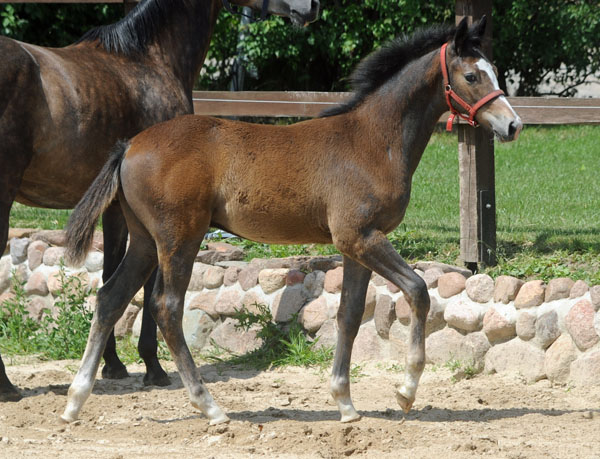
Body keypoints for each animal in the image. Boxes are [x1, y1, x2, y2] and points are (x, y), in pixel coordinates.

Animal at [0, 0, 322, 402]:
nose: (312, 7)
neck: (148, 58)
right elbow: (147, 285)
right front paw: (151, 366)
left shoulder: (117, 210)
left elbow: (112, 276)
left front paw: (112, 364)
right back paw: (6, 384)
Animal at [62, 17, 520, 428]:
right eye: (472, 75)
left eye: (496, 72)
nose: (513, 124)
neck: (374, 140)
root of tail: (129, 145)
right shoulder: (362, 239)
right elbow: (419, 290)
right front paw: (405, 392)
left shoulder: (355, 246)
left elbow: (349, 314)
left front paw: (345, 404)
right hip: (179, 239)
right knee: (166, 307)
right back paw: (211, 409)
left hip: (144, 241)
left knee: (109, 299)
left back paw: (75, 401)